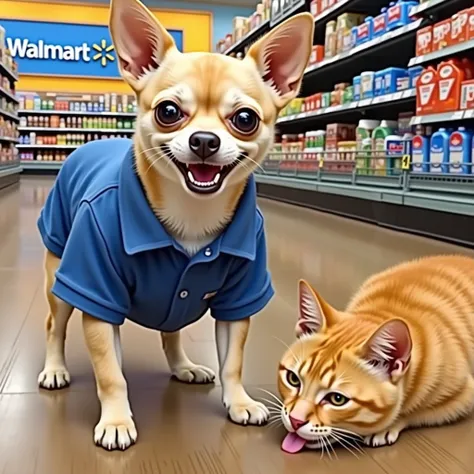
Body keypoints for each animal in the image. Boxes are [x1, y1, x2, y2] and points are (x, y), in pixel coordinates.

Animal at [36, 0, 312, 452]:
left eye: (246, 119)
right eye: (168, 112)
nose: (204, 140)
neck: (191, 213)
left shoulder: (238, 299)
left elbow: (233, 361)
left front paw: (238, 401)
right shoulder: (97, 298)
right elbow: (110, 372)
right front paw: (116, 420)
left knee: (172, 330)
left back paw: (184, 366)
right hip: (59, 277)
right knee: (54, 326)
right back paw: (55, 369)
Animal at [278, 254, 474, 454]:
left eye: (337, 399)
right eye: (293, 379)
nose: (295, 420)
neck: (386, 310)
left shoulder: (463, 397)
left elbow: (415, 413)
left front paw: (388, 426)